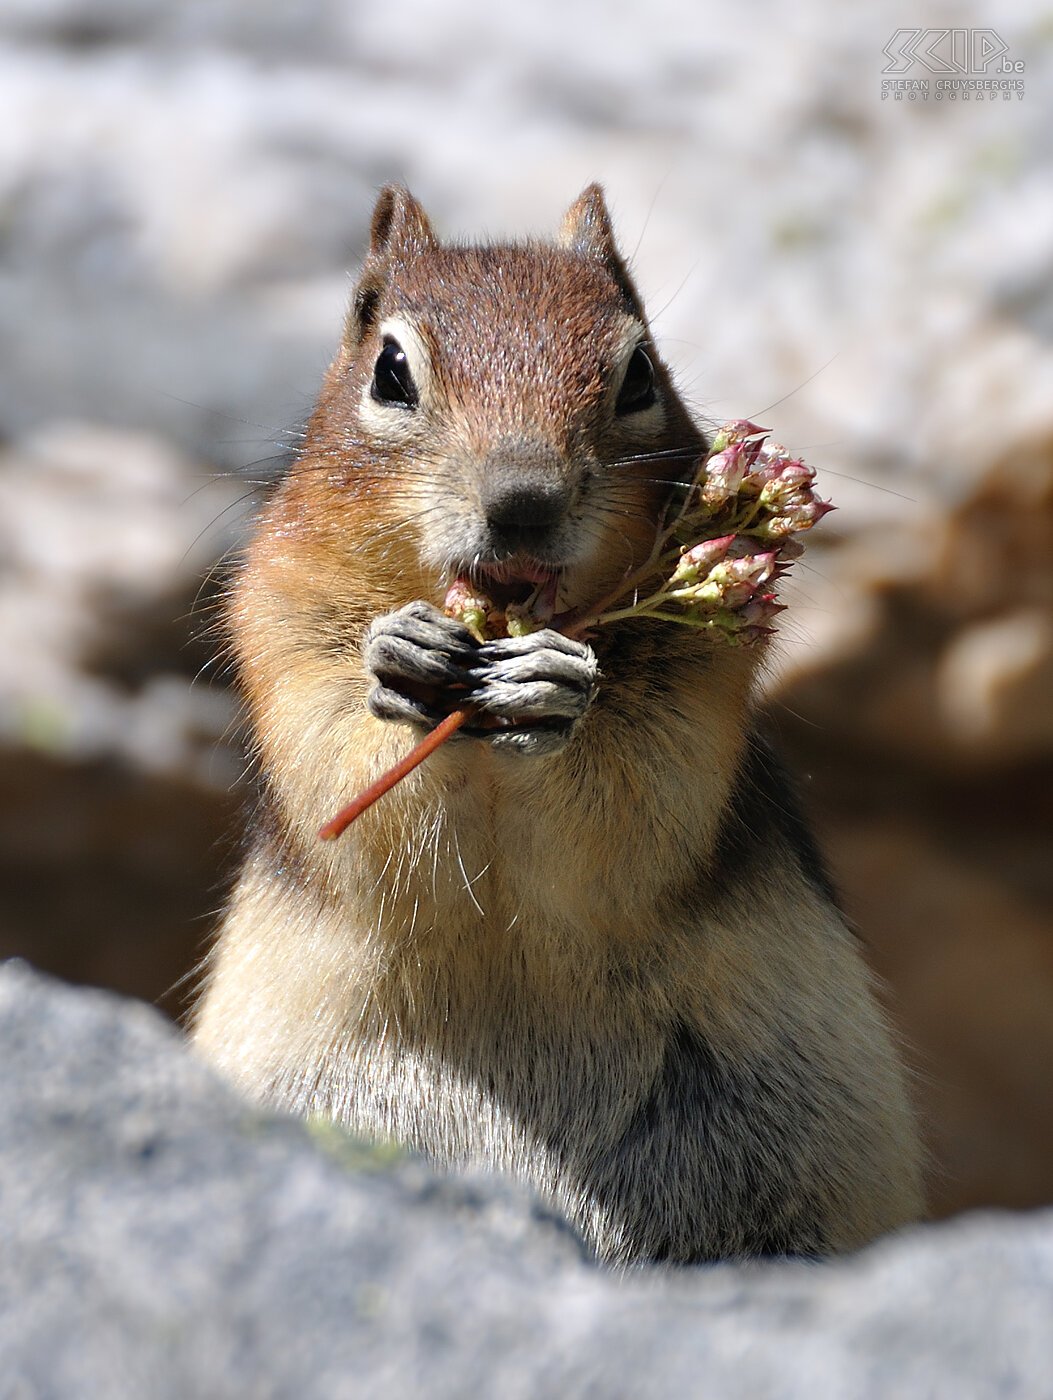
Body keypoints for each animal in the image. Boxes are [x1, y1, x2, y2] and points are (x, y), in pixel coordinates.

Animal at [193, 186, 924, 1271]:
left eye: (638, 374)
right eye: (390, 370)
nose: (523, 501)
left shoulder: (692, 710)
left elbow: (631, 818)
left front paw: (553, 688)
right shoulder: (283, 626)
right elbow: (348, 790)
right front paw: (398, 656)